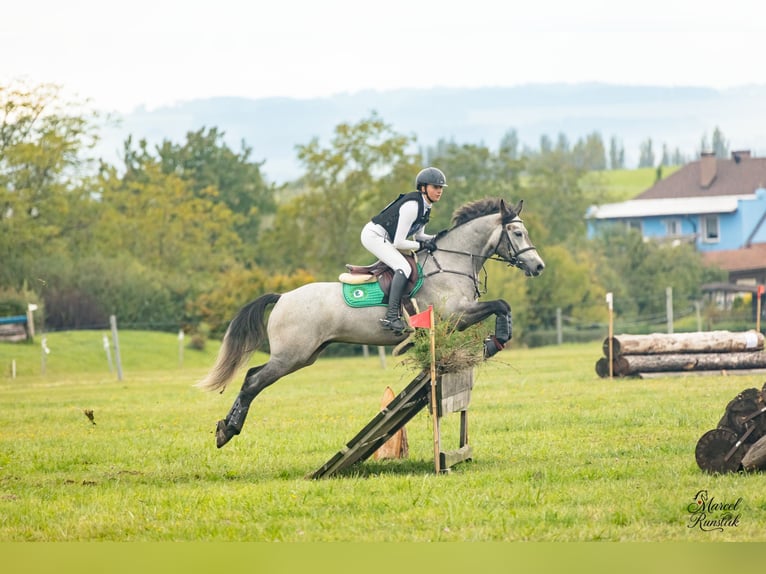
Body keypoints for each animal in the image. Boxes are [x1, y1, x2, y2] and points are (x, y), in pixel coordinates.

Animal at [199, 197, 545, 448]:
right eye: (518, 233)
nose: (538, 266)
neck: (450, 262)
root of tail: (283, 296)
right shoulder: (455, 314)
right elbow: (500, 305)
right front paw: (495, 341)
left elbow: (502, 306)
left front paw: (496, 340)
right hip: (291, 355)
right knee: (253, 381)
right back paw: (227, 430)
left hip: (304, 356)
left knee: (253, 377)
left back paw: (226, 427)